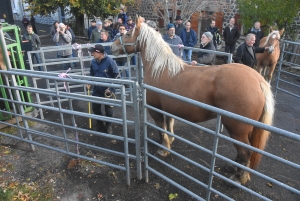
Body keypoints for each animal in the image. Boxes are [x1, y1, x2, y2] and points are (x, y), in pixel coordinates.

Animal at [110, 16, 274, 185]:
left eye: (127, 33)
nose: (112, 47)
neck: (160, 68)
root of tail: (258, 81)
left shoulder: (156, 110)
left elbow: (161, 129)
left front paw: (163, 149)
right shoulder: (168, 109)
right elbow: (168, 126)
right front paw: (170, 141)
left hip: (237, 130)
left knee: (245, 152)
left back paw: (239, 177)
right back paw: (234, 168)